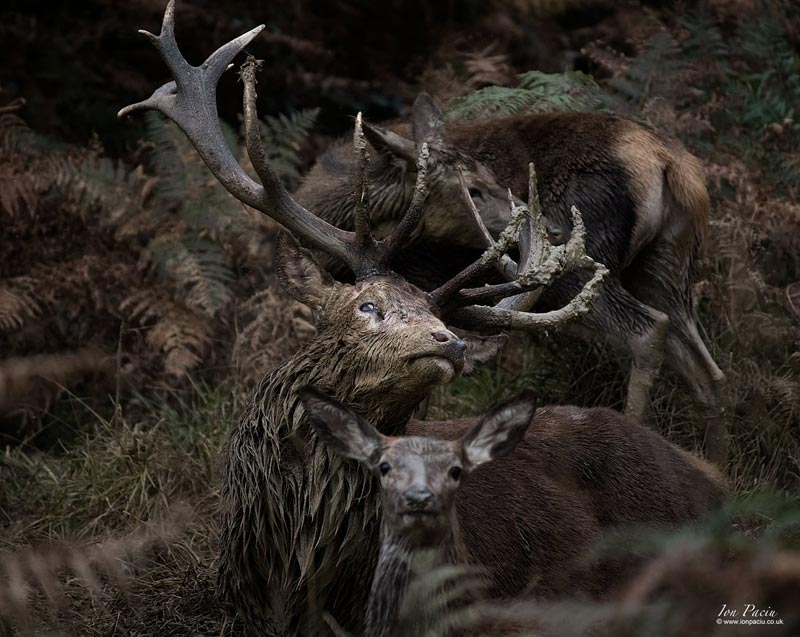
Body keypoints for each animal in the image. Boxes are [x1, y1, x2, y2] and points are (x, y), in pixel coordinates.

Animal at [296, 93, 728, 462]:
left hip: (580, 269)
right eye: (472, 189)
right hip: (667, 265)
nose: (543, 226)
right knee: (705, 363)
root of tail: (671, 162)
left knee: (648, 330)